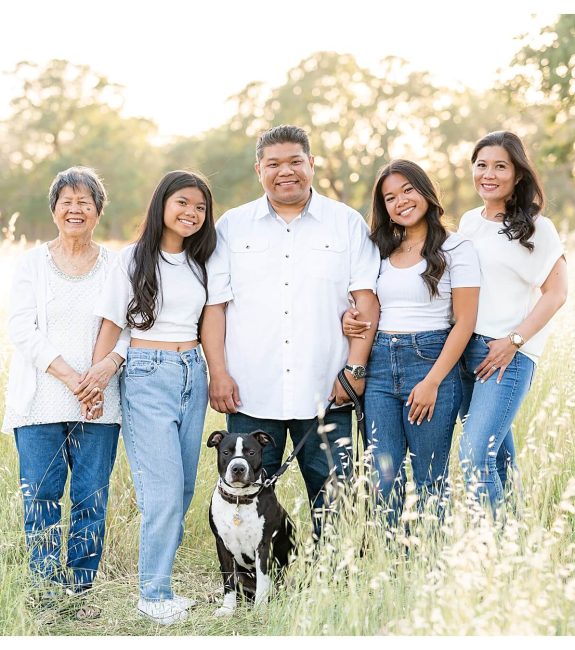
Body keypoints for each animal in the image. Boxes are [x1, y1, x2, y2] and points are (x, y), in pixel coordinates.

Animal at [207, 428, 294, 616]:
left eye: (251, 453)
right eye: (226, 452)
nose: (238, 468)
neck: (239, 500)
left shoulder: (263, 546)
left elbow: (263, 581)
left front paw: (260, 610)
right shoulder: (221, 544)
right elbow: (228, 581)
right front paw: (227, 608)